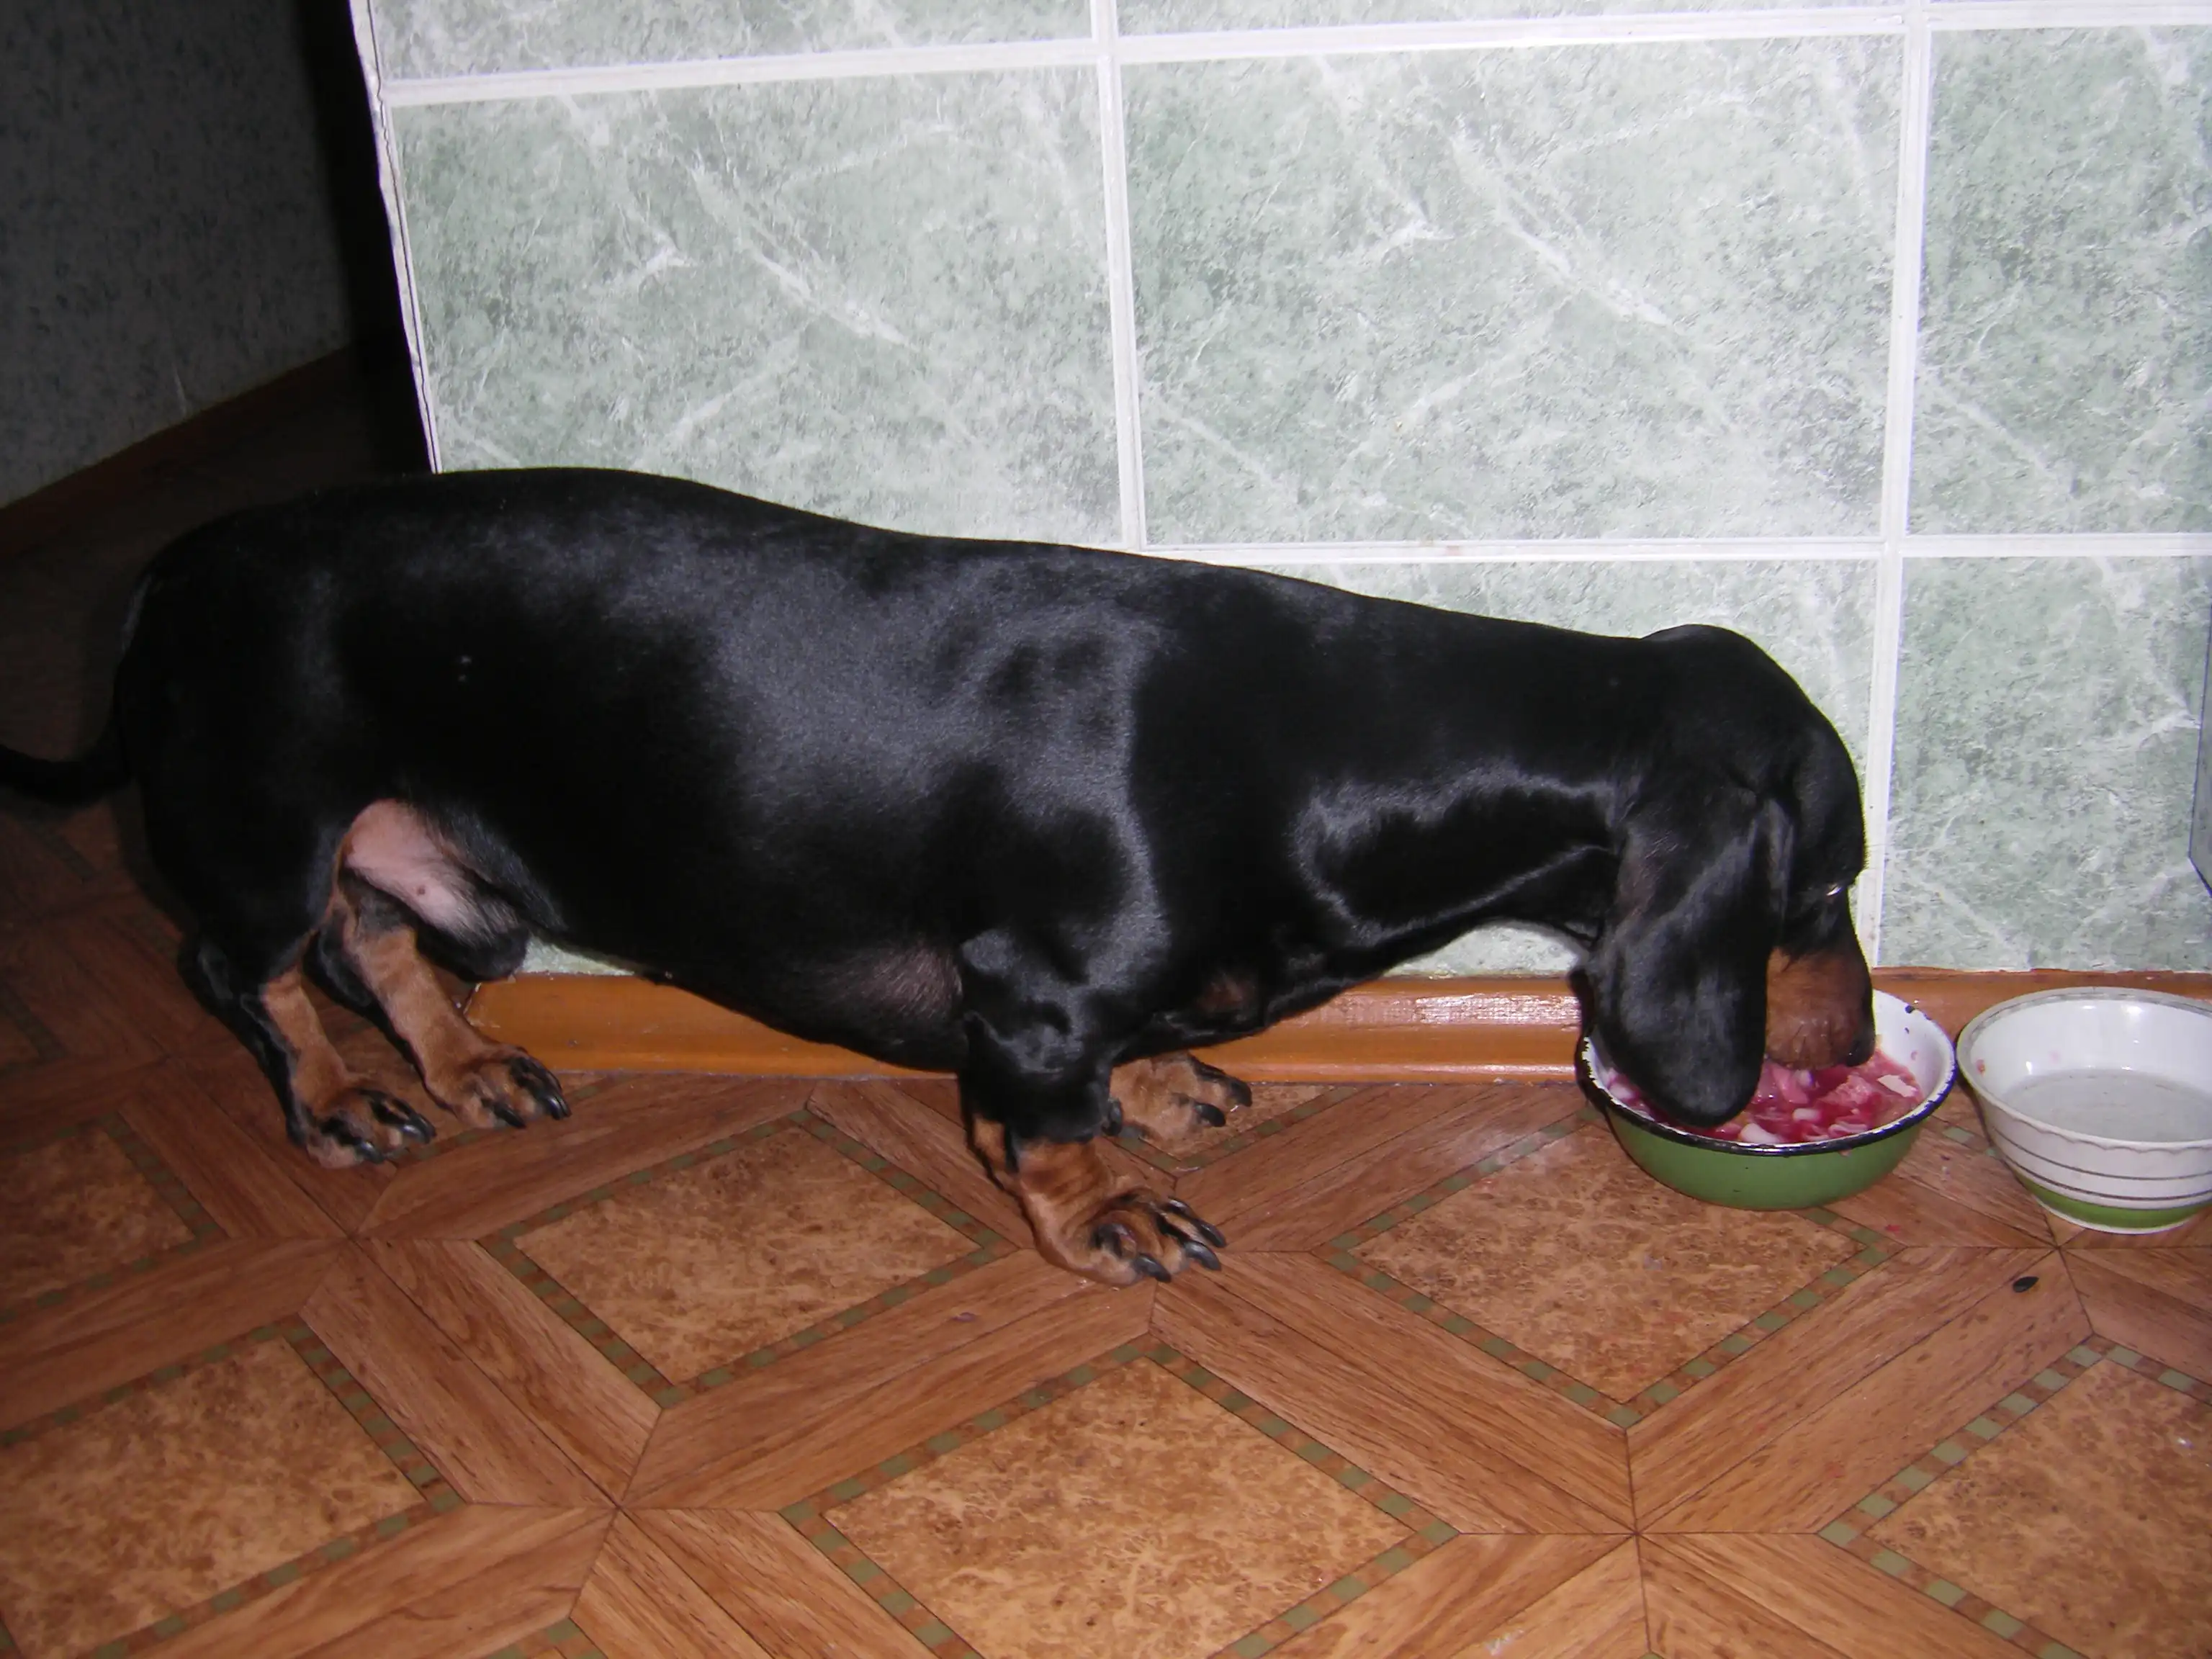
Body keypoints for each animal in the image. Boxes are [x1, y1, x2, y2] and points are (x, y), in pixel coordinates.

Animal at [0, 467, 1875, 1284]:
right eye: (1823, 888)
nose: (1854, 1050)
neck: (1314, 738)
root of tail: (174, 569)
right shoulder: (1027, 997)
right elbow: (1040, 1128)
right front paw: (1109, 1205)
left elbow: (1130, 1061)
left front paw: (1169, 1083)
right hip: (261, 827)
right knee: (249, 970)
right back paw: (339, 1101)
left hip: (393, 843)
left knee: (377, 948)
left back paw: (460, 1069)